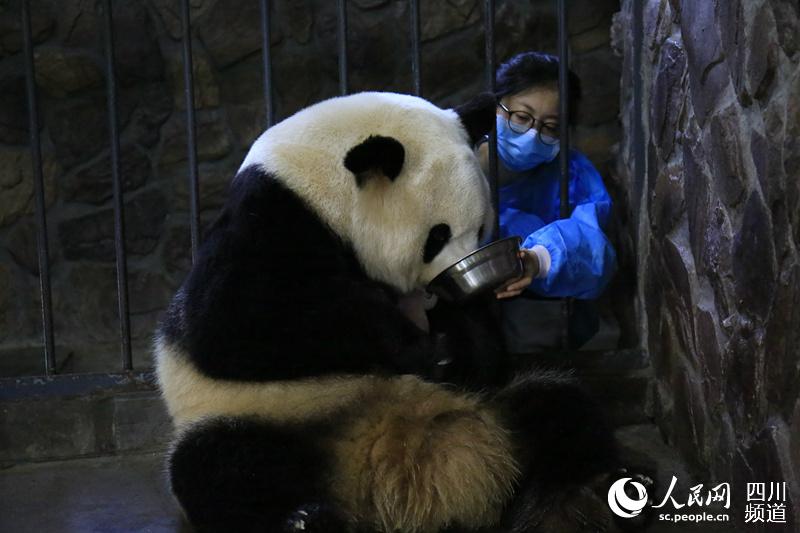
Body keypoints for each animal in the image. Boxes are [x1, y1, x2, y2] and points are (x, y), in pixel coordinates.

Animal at [155, 92, 620, 532]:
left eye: (482, 228)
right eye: (438, 236)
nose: (460, 270)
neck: (317, 185)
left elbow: (485, 359)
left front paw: (456, 339)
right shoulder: (268, 220)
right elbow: (234, 320)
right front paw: (428, 349)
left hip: (493, 408)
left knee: (558, 406)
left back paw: (572, 497)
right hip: (266, 416)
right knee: (221, 468)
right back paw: (305, 519)